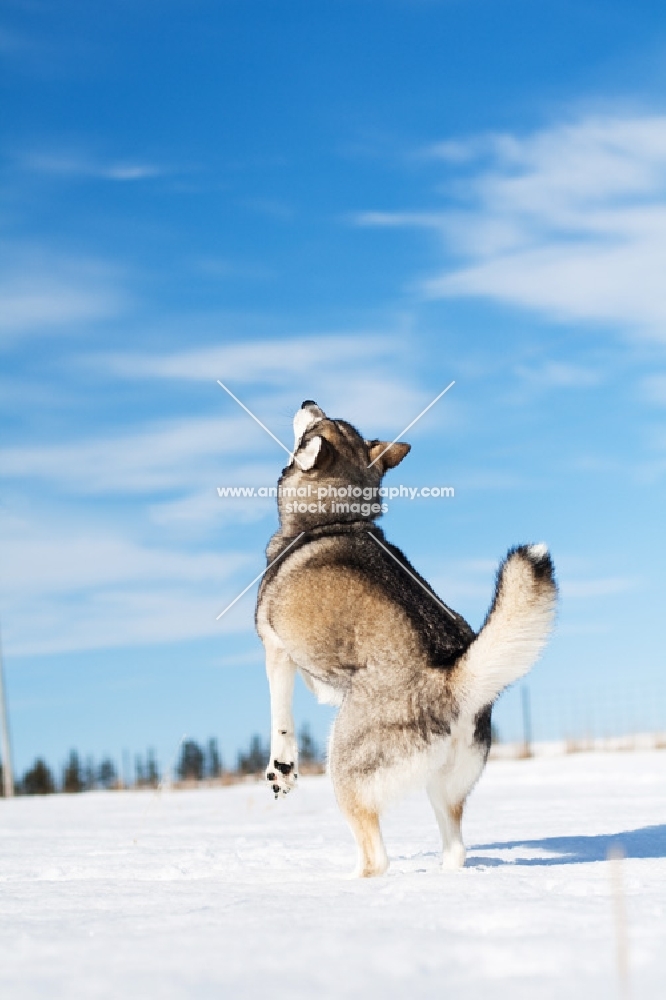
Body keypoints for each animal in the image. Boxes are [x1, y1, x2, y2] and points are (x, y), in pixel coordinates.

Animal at [254, 398, 556, 876]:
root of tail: (453, 681)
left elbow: (280, 720)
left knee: (377, 857)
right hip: (445, 790)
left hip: (346, 767)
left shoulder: (275, 647)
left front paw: (281, 770)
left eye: (317, 425)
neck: (335, 515)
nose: (307, 402)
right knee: (456, 848)